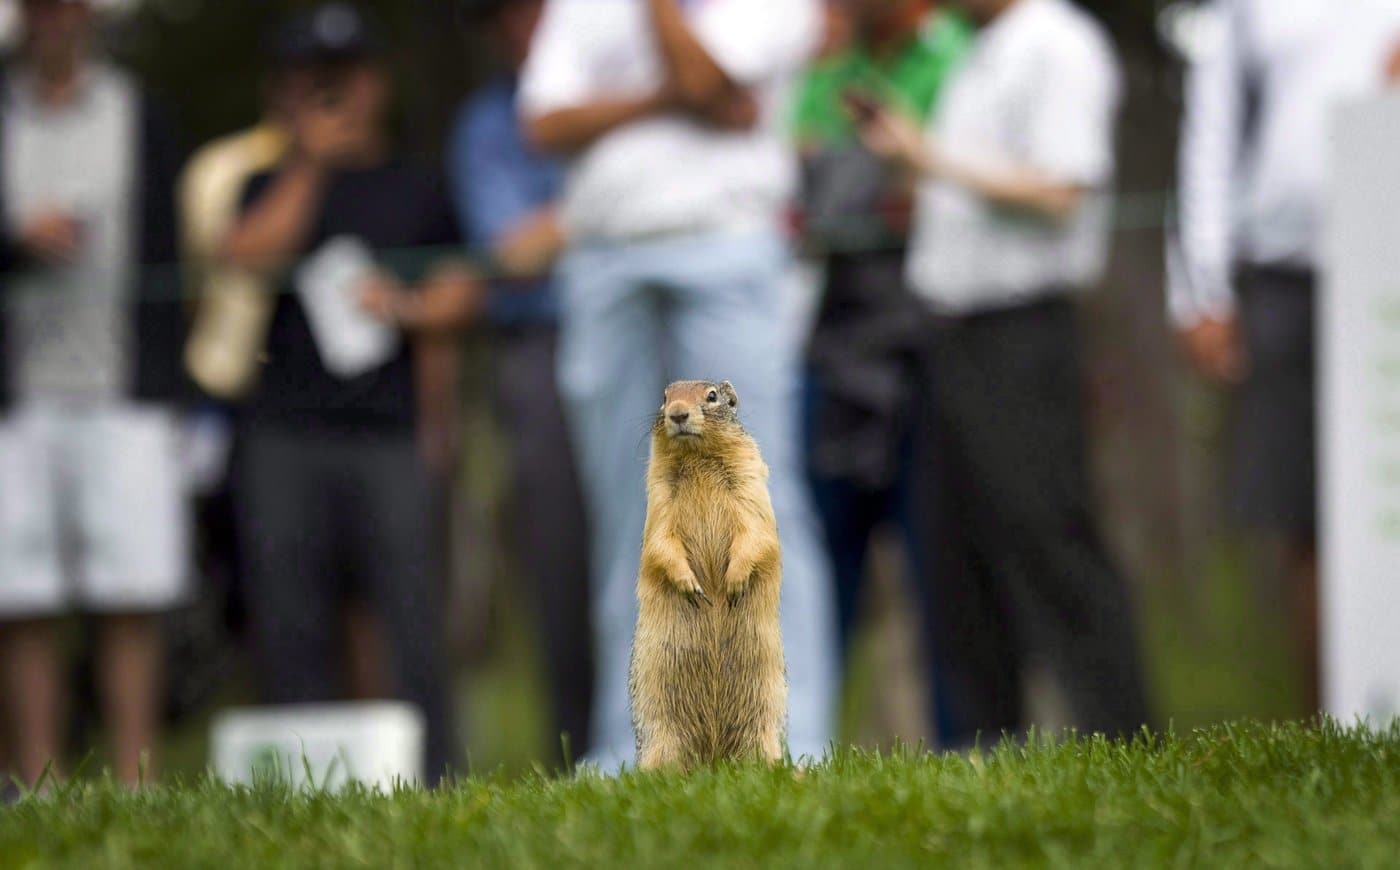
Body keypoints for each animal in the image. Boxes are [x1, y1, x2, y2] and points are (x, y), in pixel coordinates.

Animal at [629, 379, 786, 770]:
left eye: (712, 396)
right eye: (664, 397)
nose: (677, 413)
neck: (697, 457)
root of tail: (713, 760)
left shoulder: (750, 485)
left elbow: (755, 535)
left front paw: (732, 584)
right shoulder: (658, 498)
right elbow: (661, 544)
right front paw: (691, 586)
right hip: (660, 734)